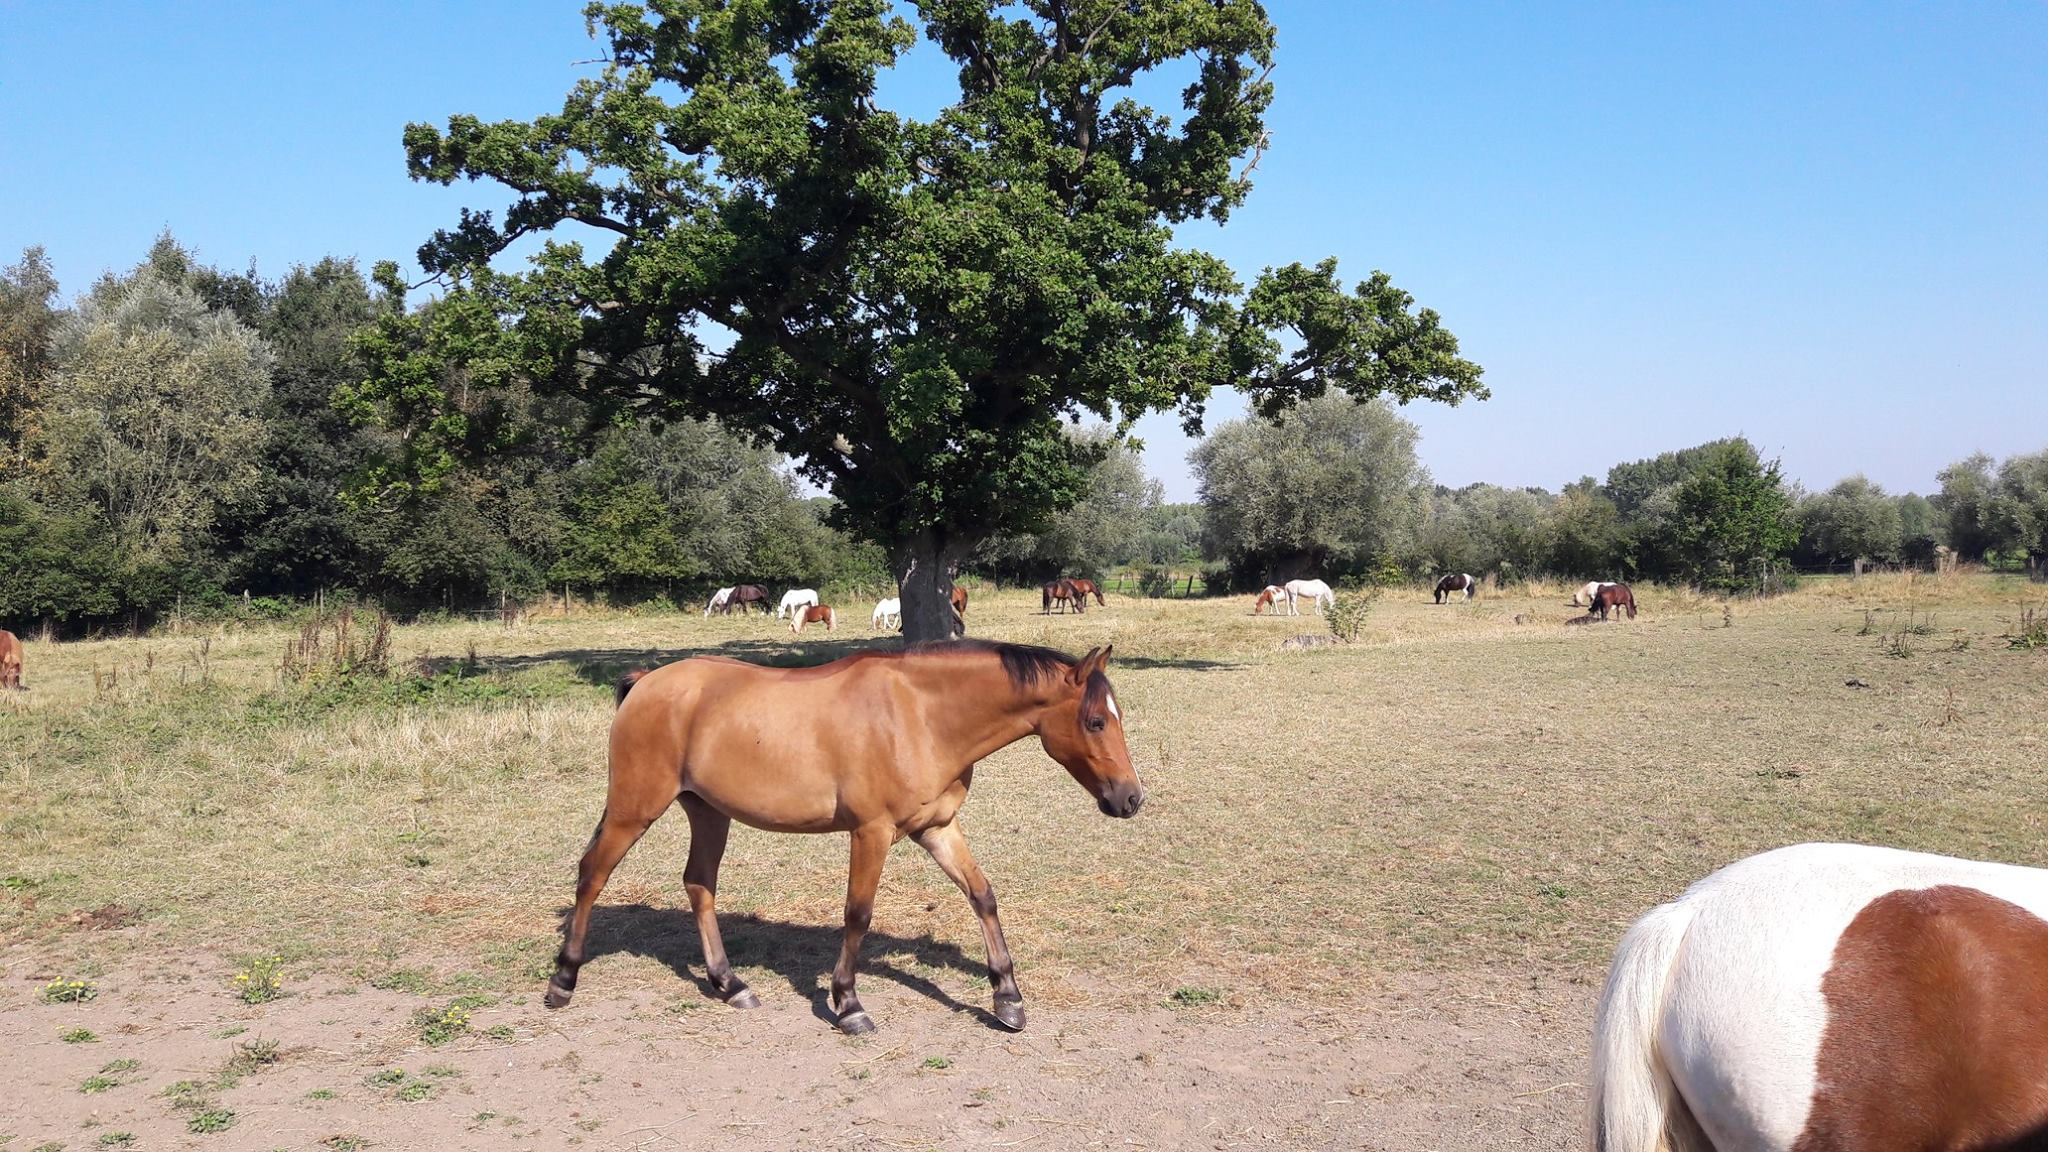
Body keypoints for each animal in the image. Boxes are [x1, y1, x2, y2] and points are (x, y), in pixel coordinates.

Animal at [546, 641, 1142, 1037]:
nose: (1131, 798)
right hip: (635, 808)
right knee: (592, 874)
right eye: (1095, 721)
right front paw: (849, 1004)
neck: (920, 716)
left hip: (708, 812)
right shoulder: (870, 833)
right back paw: (564, 980)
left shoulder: (937, 829)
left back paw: (730, 984)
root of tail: (646, 682)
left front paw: (1007, 999)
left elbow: (983, 896)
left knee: (699, 884)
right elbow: (858, 915)